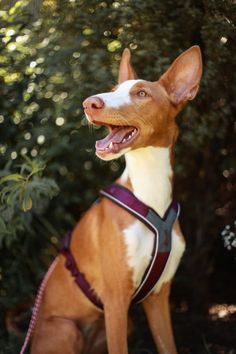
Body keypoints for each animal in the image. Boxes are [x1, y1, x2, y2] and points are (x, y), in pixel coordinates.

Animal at [30, 45, 203, 352]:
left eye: (141, 93)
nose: (89, 103)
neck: (149, 195)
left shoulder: (158, 297)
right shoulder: (115, 301)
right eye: (113, 90)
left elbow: (168, 345)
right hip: (66, 328)